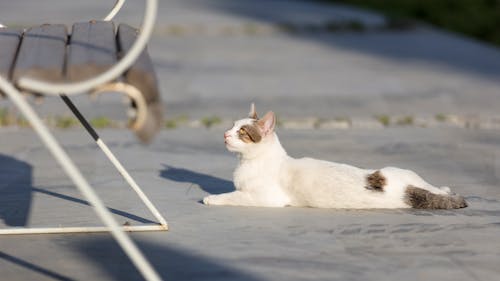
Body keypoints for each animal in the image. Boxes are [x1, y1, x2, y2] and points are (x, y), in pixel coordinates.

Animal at [201, 103, 466, 208]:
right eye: (232, 125)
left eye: (242, 132)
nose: (225, 134)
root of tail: (409, 190)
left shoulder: (265, 198)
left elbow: (234, 196)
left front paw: (212, 198)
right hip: (409, 174)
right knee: (437, 189)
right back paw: (445, 189)